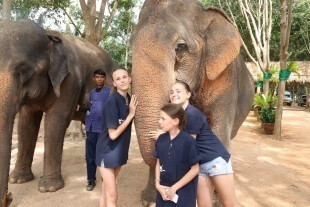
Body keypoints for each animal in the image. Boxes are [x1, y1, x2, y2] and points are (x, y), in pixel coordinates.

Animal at [0, 19, 115, 205]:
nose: (9, 197)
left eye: (24, 70)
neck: (49, 35)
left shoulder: (71, 79)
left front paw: (49, 189)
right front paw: (18, 180)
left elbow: (56, 121)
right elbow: (26, 123)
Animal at [130, 0, 254, 204]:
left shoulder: (226, 80)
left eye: (180, 47)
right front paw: (150, 199)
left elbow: (218, 135)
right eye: (130, 45)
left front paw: (215, 201)